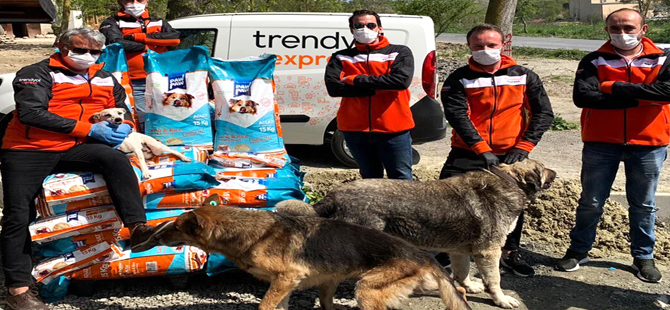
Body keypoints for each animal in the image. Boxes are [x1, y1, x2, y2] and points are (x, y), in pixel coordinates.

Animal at [152, 206, 472, 310]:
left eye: (176, 227)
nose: (155, 234)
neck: (254, 233)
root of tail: (421, 254)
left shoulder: (286, 278)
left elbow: (264, 306)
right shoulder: (285, 285)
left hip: (367, 289)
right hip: (335, 284)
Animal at [276, 159, 560, 308]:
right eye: (544, 168)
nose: (555, 172)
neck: (508, 182)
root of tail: (333, 194)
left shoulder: (461, 251)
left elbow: (462, 272)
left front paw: (468, 285)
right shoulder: (489, 251)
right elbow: (495, 281)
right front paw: (501, 299)